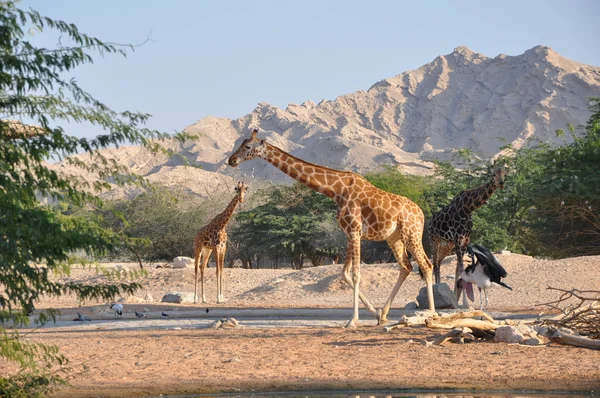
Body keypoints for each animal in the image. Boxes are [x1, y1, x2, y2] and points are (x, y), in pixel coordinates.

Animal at [227, 128, 434, 326]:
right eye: (241, 144)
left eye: (247, 146)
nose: (231, 160)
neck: (335, 190)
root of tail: (421, 214)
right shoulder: (349, 232)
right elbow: (344, 273)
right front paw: (374, 313)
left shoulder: (355, 230)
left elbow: (356, 274)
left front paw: (352, 320)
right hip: (394, 237)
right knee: (406, 267)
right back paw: (384, 314)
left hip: (411, 233)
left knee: (426, 264)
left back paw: (431, 314)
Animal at [426, 160, 506, 306]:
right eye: (493, 174)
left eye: (505, 173)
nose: (501, 183)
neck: (468, 208)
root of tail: (430, 222)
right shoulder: (458, 238)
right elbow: (461, 268)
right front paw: (465, 303)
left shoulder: (465, 239)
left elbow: (459, 268)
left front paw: (457, 299)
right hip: (434, 240)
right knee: (435, 264)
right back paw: (437, 290)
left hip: (447, 245)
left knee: (438, 262)